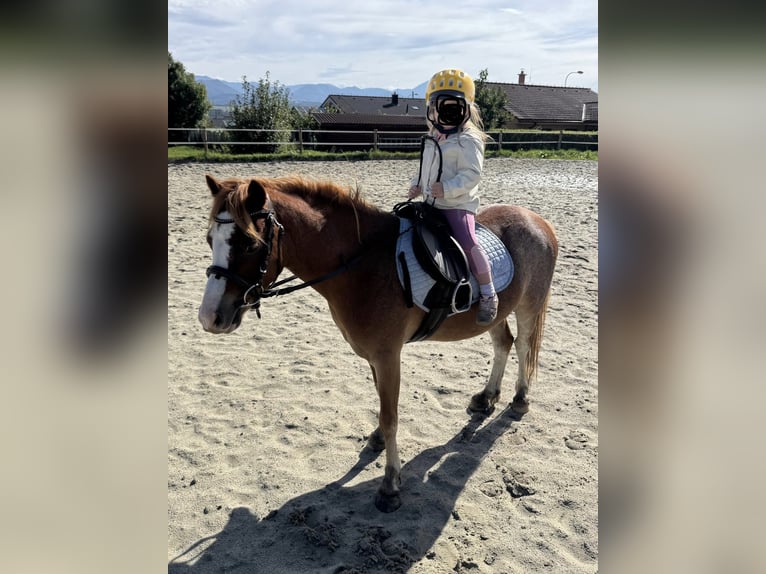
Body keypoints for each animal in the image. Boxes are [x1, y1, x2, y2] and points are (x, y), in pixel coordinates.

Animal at [198, 174, 558, 513]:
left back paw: (520, 400)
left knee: (523, 346)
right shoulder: (373, 356)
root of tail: (538, 220)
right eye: (210, 239)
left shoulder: (388, 356)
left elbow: (390, 416)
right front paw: (377, 441)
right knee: (503, 344)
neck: (362, 266)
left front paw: (390, 485)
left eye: (248, 244)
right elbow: (381, 408)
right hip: (494, 314)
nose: (209, 318)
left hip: (528, 306)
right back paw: (486, 398)